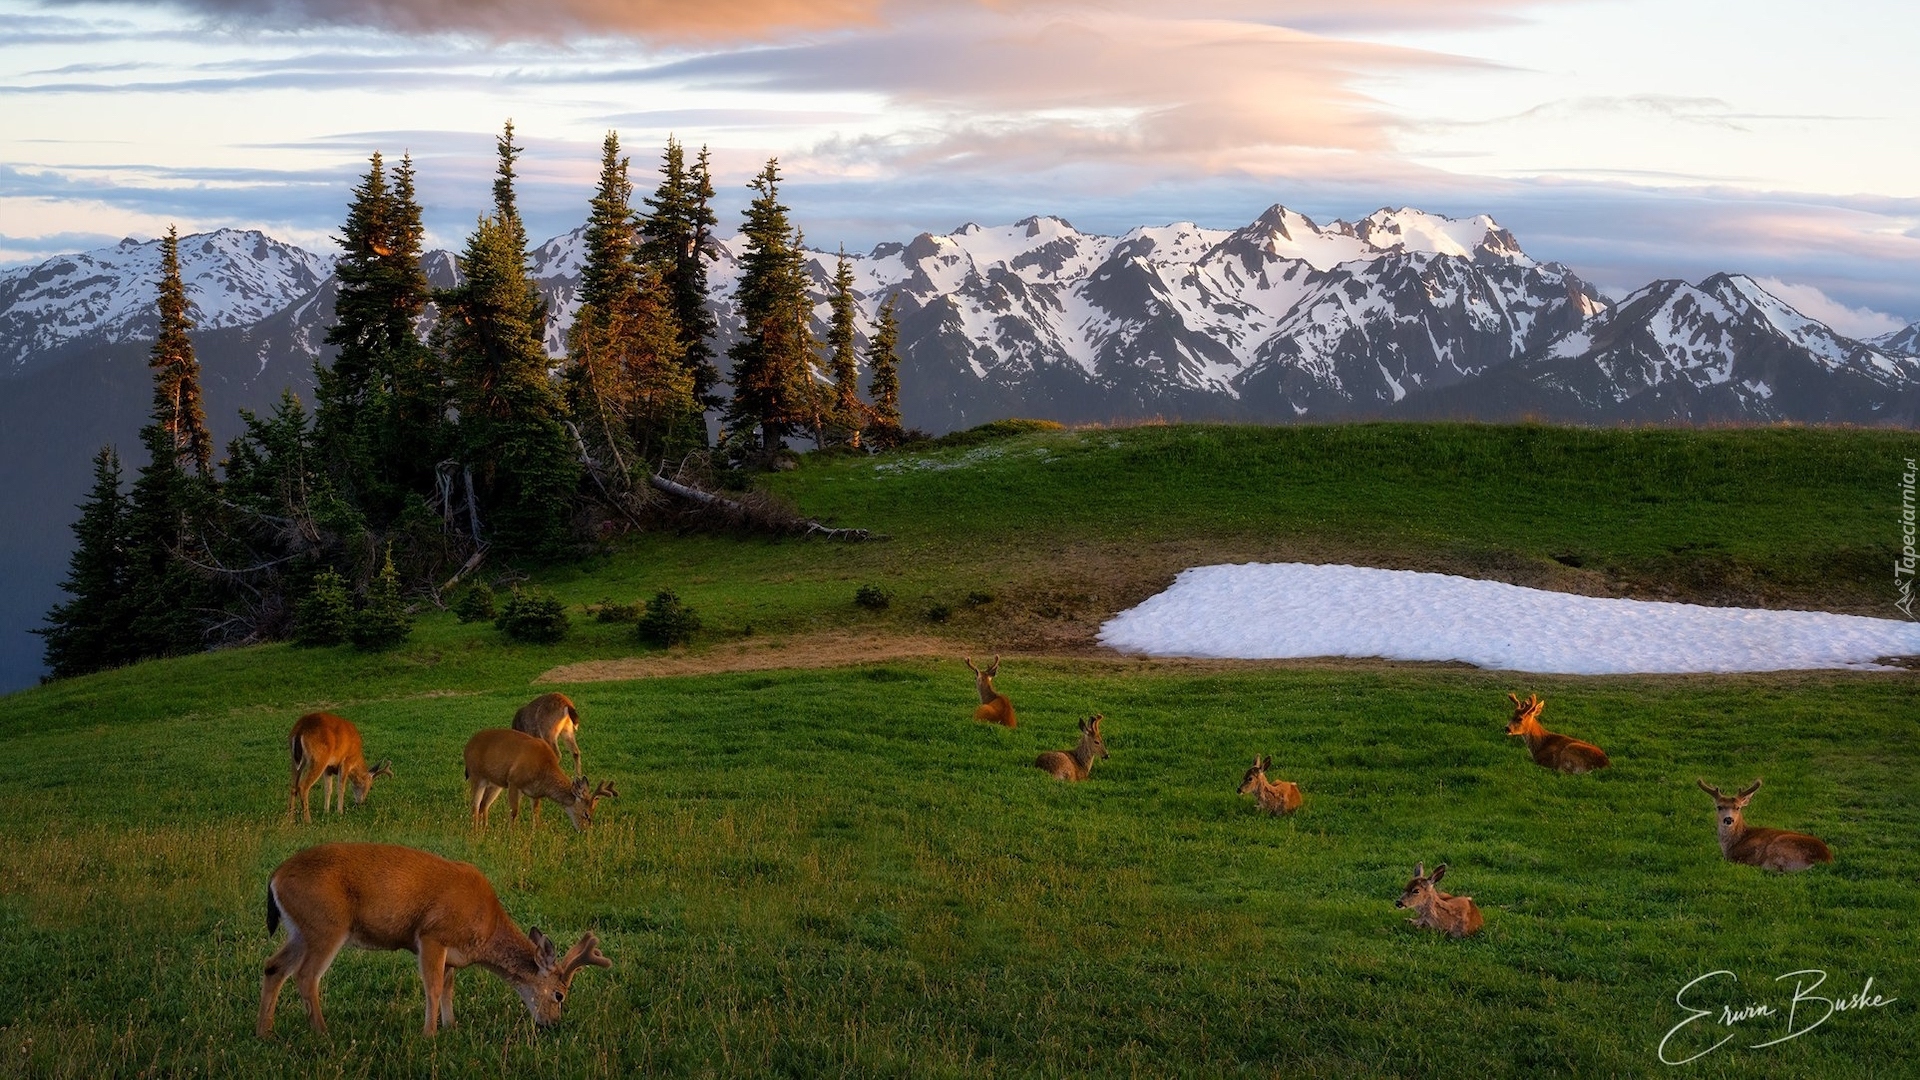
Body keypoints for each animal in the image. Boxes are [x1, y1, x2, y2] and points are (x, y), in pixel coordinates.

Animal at [259, 837, 610, 1030]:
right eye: (559, 995)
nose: (553, 1024)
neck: (485, 927)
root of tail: (275, 876)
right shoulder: (431, 936)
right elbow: (434, 988)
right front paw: (429, 1034)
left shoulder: (452, 955)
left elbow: (449, 989)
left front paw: (451, 1026)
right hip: (327, 925)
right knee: (306, 976)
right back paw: (323, 1033)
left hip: (300, 930)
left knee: (273, 966)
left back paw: (266, 1032)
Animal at [458, 726, 614, 826]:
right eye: (586, 814)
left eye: (593, 812)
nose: (584, 831)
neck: (544, 768)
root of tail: (467, 745)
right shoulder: (514, 781)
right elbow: (514, 812)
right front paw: (512, 837)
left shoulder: (535, 793)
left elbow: (536, 814)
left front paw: (535, 834)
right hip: (476, 775)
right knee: (474, 806)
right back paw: (476, 834)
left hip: (496, 784)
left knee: (484, 805)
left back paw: (485, 830)